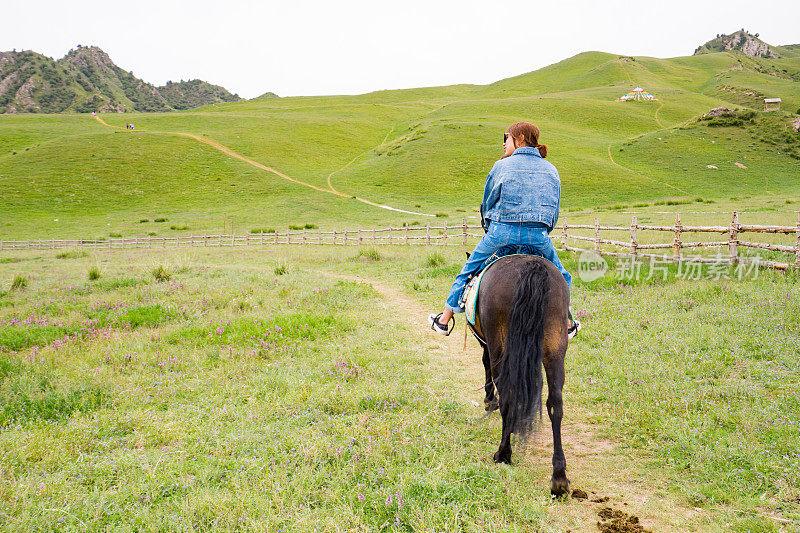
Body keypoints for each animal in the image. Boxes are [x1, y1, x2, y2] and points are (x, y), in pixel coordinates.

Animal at [472, 254, 572, 494]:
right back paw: (559, 477)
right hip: (555, 348)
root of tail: (533, 267)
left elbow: (485, 363)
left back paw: (503, 454)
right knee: (555, 404)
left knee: (508, 396)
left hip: (500, 344)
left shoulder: (486, 342)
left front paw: (489, 401)